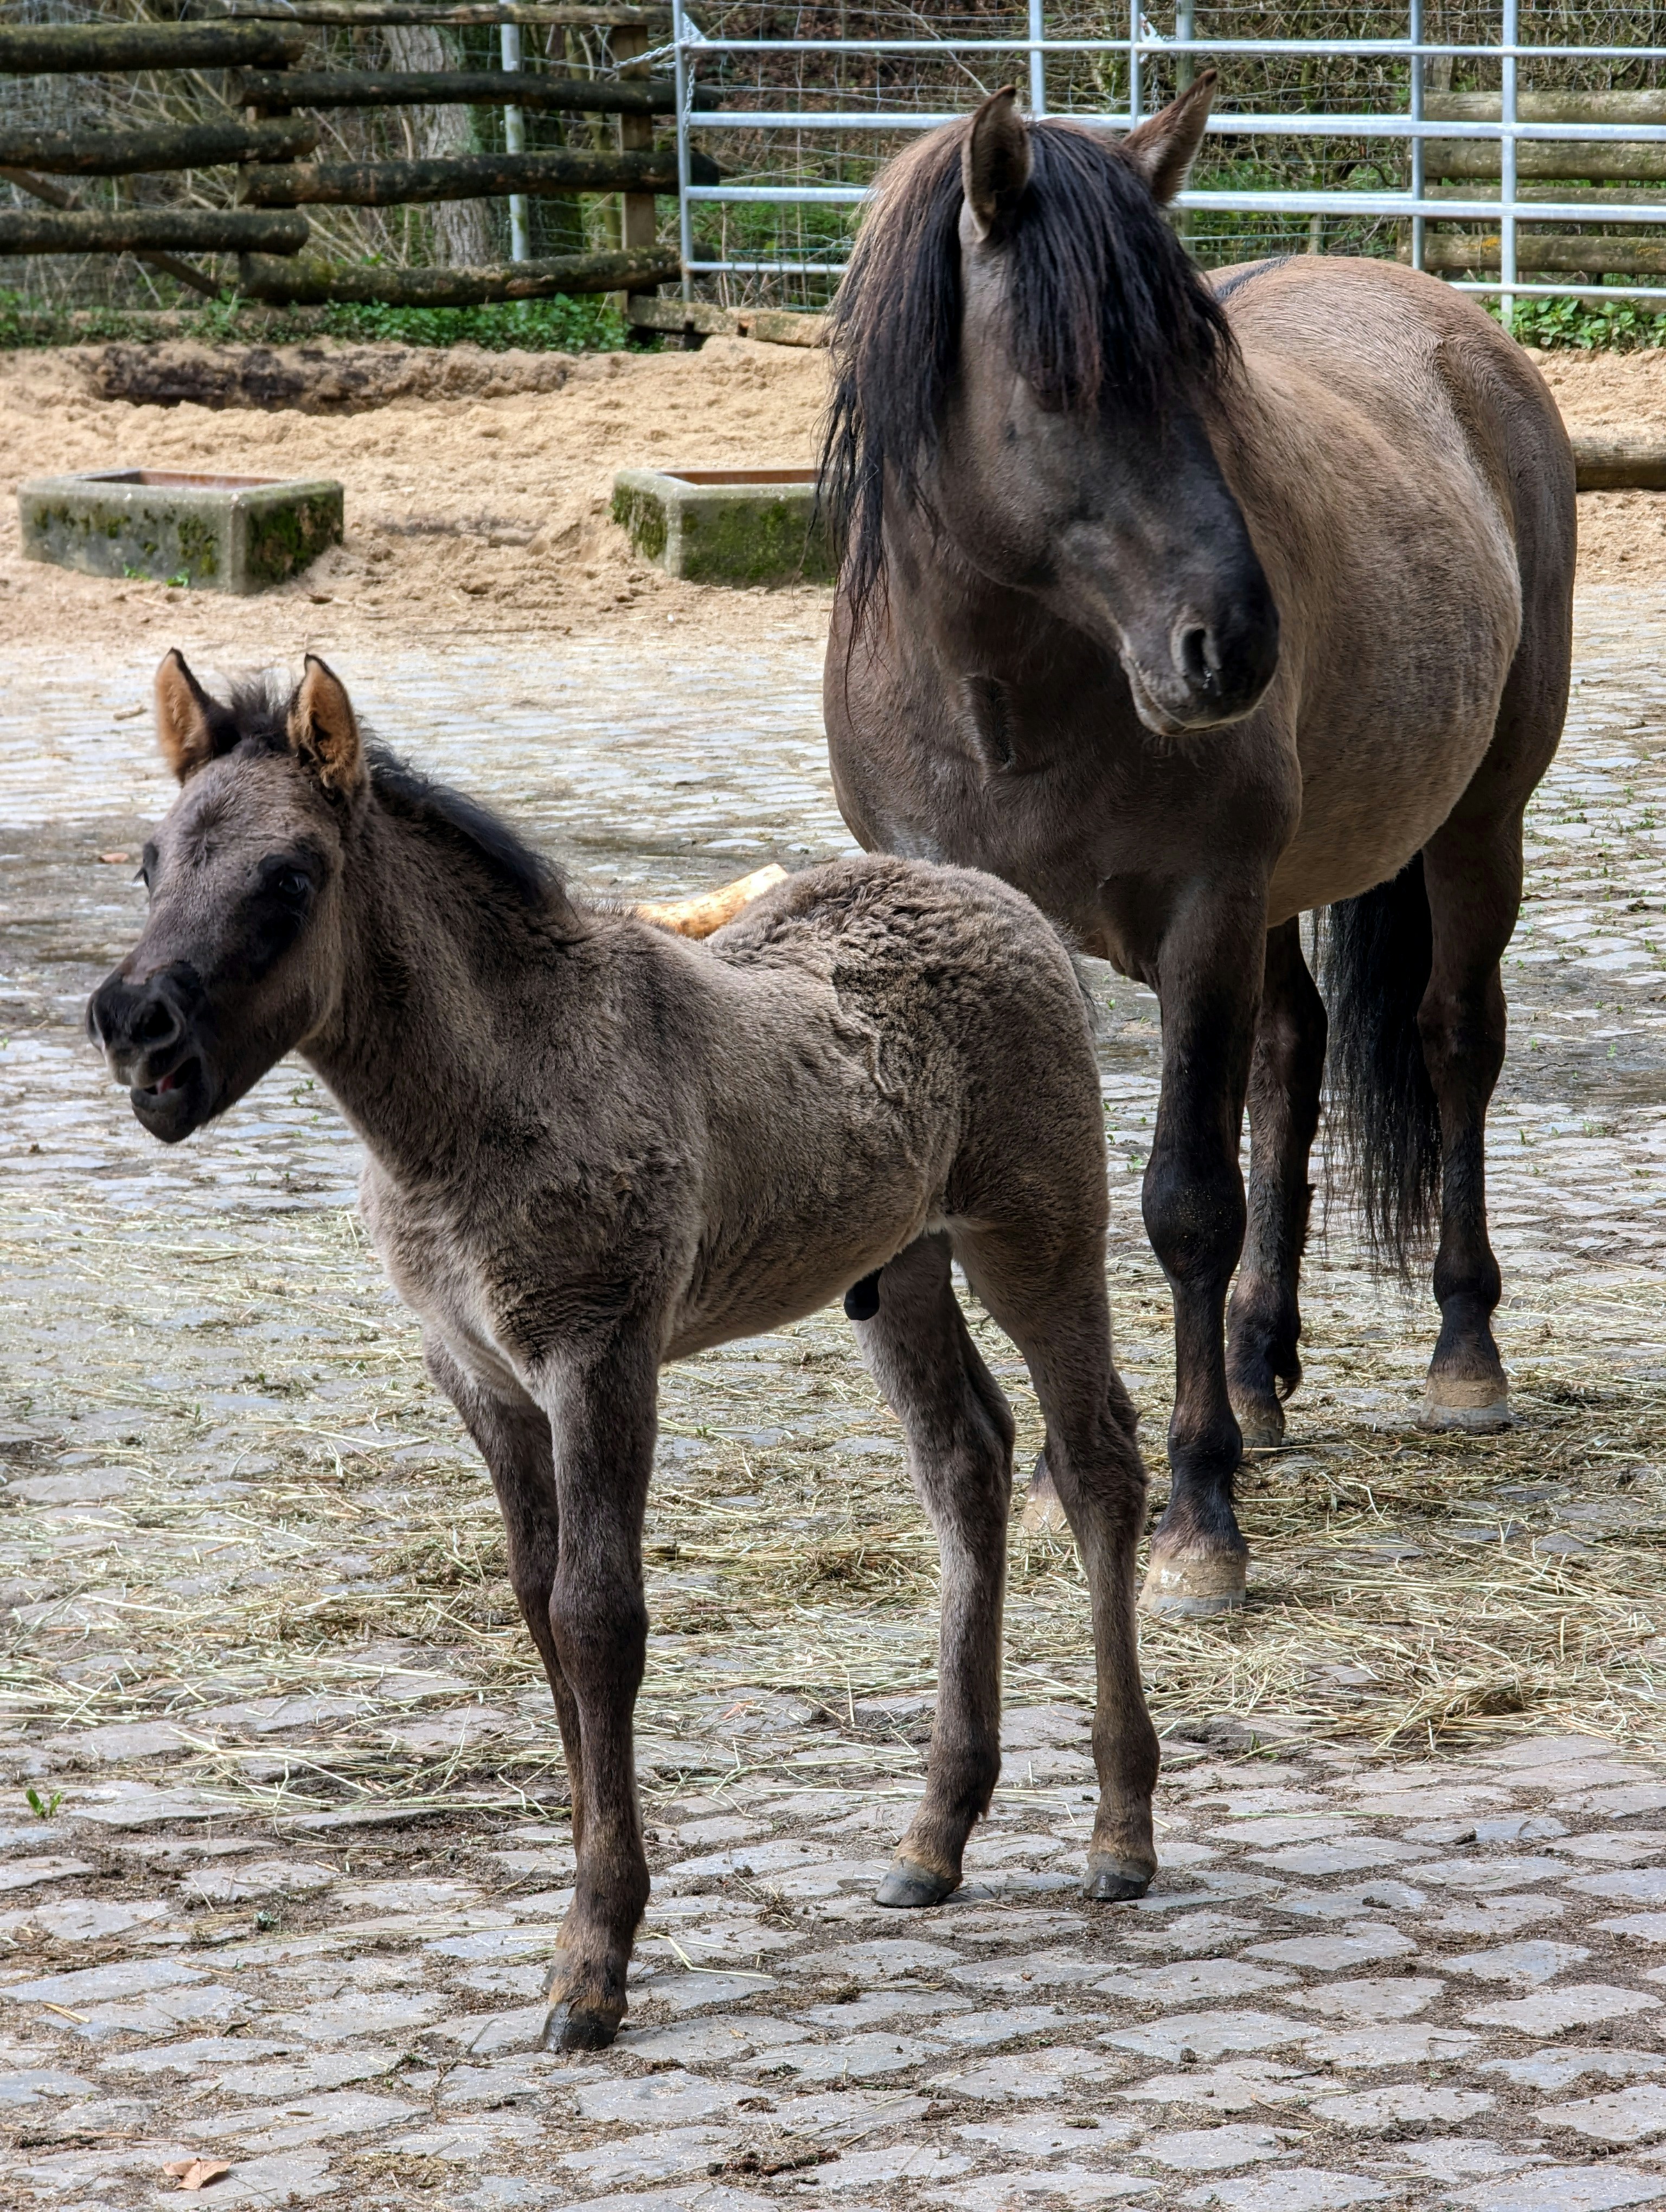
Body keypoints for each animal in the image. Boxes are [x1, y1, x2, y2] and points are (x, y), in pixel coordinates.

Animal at [88, 649, 1161, 2052]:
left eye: (291, 875)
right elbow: (537, 1605)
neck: (484, 1096)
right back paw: (932, 1838)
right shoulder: (480, 1380)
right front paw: (585, 1908)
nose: (137, 1028)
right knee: (965, 1467)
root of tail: (1003, 899)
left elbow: (599, 1618)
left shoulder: (599, 1354)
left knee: (1094, 1462)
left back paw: (1121, 1832)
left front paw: (592, 1962)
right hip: (897, 1271)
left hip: (1034, 1235)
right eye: (151, 861)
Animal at [820, 75, 1576, 1618]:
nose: (1231, 644)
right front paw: (1072, 1479)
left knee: (1453, 1045)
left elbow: (1184, 1203)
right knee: (1291, 1065)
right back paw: (1257, 1368)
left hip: (1475, 831)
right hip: (1285, 903)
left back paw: (1461, 1355)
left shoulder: (1200, 915)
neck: (1006, 693)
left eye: (1203, 376)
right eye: (1059, 381)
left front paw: (1194, 1518)